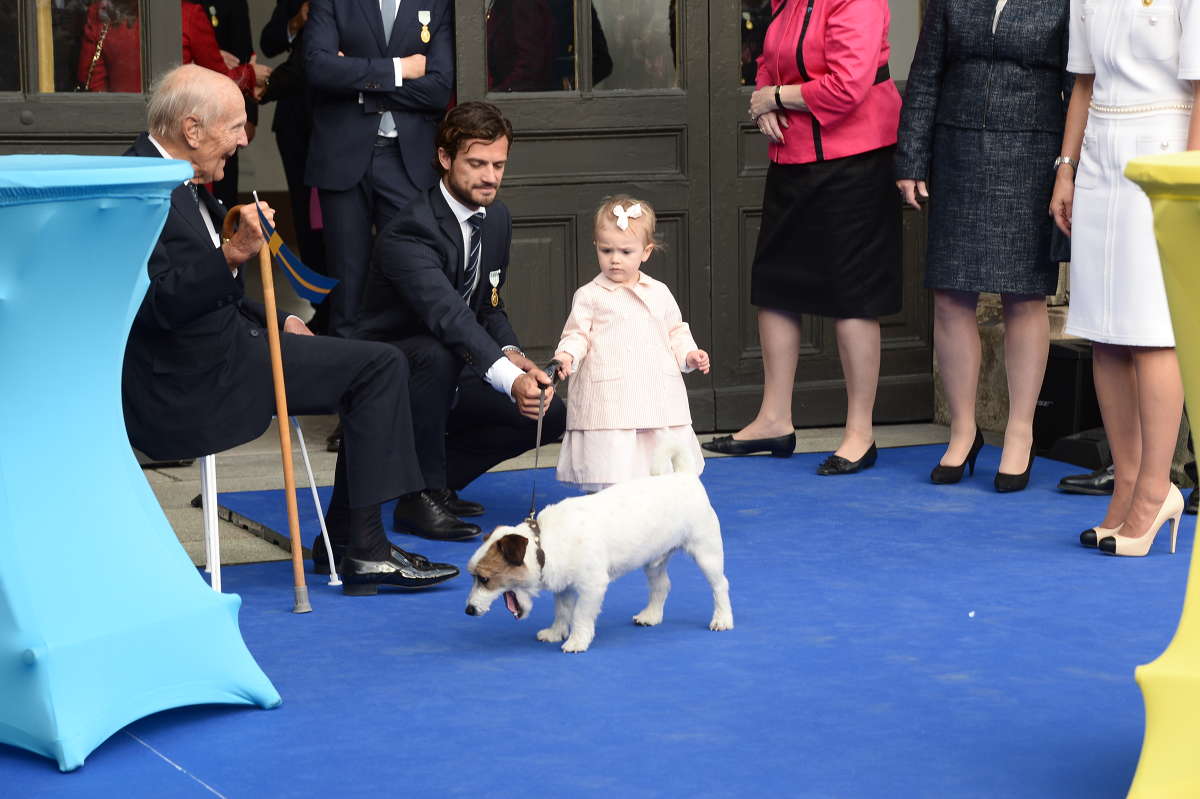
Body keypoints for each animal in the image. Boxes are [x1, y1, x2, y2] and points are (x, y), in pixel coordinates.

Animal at [465, 441, 729, 652]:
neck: (545, 543)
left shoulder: (592, 587)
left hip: (707, 553)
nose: (469, 610)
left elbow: (580, 615)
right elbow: (562, 611)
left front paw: (576, 640)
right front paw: (555, 632)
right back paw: (651, 616)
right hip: (654, 560)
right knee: (662, 586)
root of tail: (685, 476)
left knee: (720, 586)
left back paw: (723, 619)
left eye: (485, 579)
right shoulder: (564, 588)